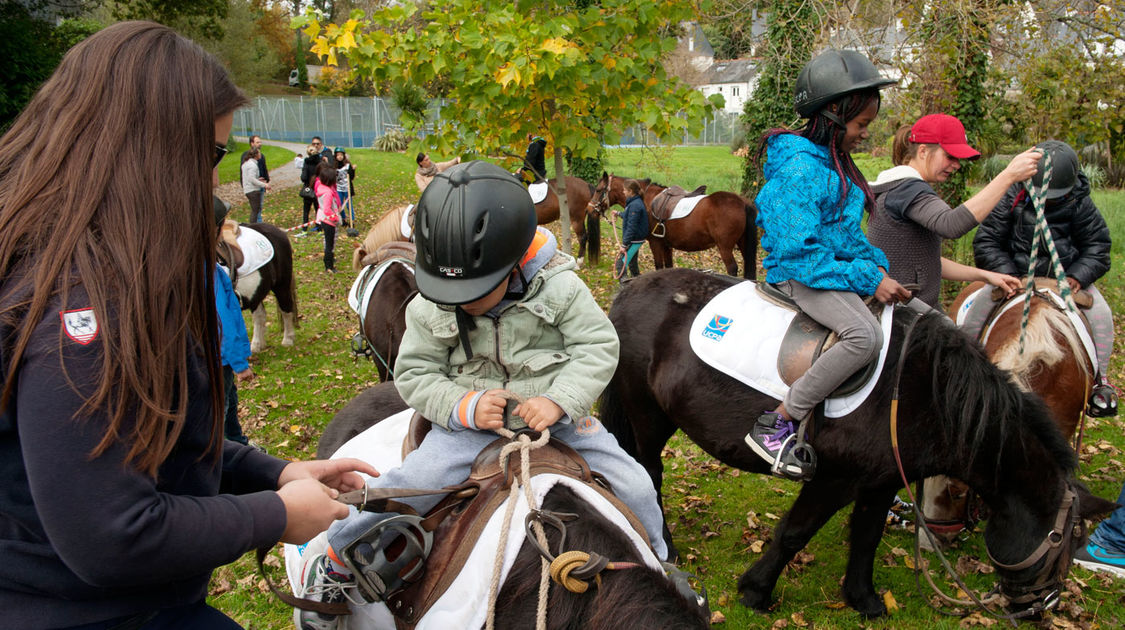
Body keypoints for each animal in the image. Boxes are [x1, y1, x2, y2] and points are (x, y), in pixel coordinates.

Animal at [589, 173, 756, 279]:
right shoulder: (667, 246)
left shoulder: (655, 243)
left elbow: (658, 265)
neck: (645, 198)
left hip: (725, 247)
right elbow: (669, 266)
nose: (589, 209)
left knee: (732, 269)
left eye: (598, 190)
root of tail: (742, 202)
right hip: (742, 245)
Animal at [603, 267, 1111, 616]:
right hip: (645, 414)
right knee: (648, 472)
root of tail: (629, 289)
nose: (1041, 608)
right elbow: (794, 533)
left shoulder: (881, 480)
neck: (925, 391)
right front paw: (756, 591)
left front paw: (863, 599)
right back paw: (664, 545)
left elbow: (866, 536)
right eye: (1062, 542)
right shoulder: (834, 478)